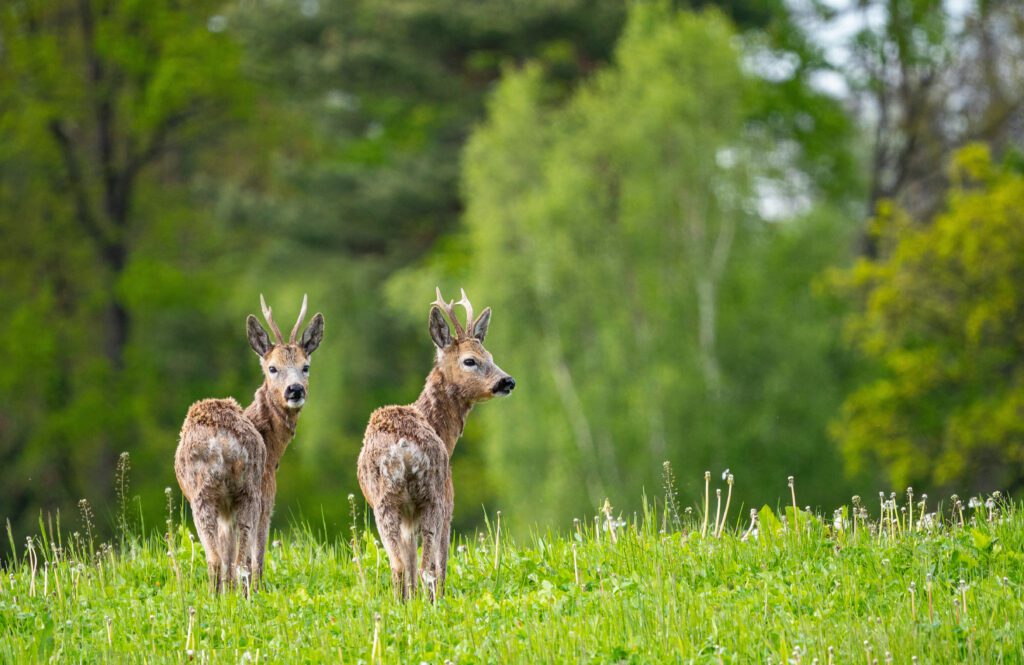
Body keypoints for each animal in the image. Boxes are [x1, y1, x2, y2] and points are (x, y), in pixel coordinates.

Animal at [172, 293, 323, 590]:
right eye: (272, 368)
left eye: (306, 367)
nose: (295, 390)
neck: (273, 447)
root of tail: (221, 444)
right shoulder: (267, 493)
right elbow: (257, 556)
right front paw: (257, 588)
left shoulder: (226, 509)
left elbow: (228, 556)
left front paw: (230, 592)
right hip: (247, 491)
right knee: (241, 559)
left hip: (203, 495)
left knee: (218, 559)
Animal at [360, 286, 520, 598]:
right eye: (470, 360)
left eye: (490, 354)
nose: (507, 381)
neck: (442, 432)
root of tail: (403, 448)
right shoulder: (448, 501)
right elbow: (441, 563)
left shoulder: (407, 516)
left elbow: (409, 563)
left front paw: (411, 602)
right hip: (432, 495)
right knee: (428, 568)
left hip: (384, 503)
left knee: (399, 565)